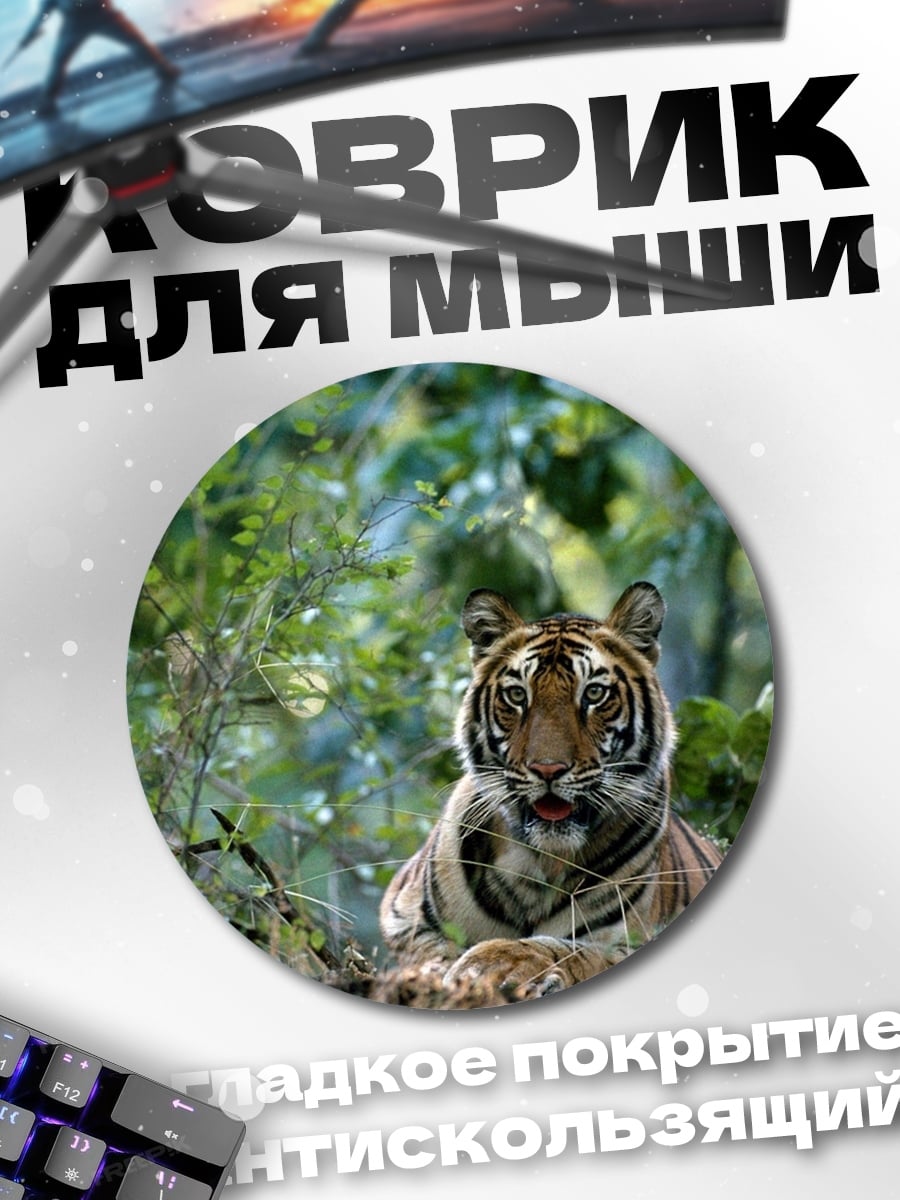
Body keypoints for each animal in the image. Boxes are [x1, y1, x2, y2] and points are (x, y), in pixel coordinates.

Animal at [379, 582, 723, 1001]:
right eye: (516, 696)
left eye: (594, 694)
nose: (547, 769)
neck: (539, 866)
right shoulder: (400, 915)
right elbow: (430, 951)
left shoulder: (629, 940)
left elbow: (571, 950)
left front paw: (495, 961)